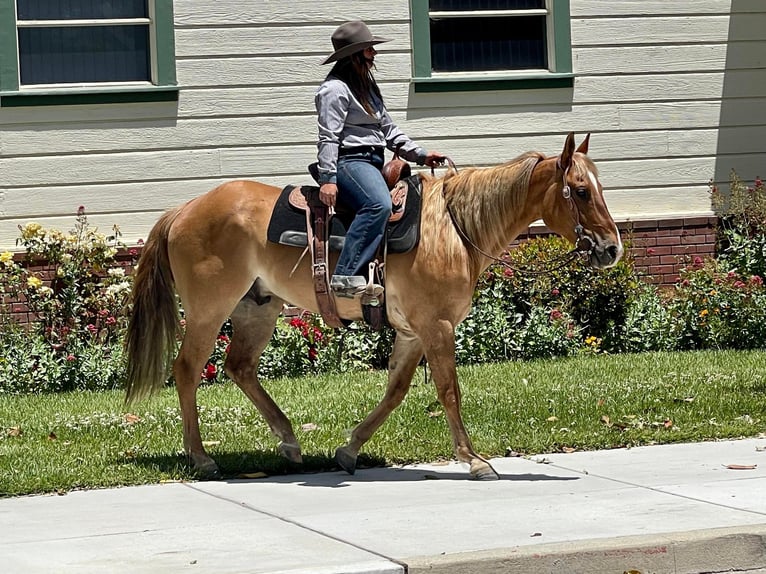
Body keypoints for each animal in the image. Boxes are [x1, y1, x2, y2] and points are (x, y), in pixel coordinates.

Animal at [123, 134, 620, 482]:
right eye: (579, 191)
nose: (611, 249)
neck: (454, 228)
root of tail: (185, 208)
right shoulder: (437, 326)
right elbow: (448, 391)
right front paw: (475, 460)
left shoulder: (413, 331)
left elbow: (396, 391)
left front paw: (349, 450)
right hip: (210, 310)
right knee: (188, 369)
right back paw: (201, 457)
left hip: (257, 307)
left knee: (239, 367)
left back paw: (288, 441)